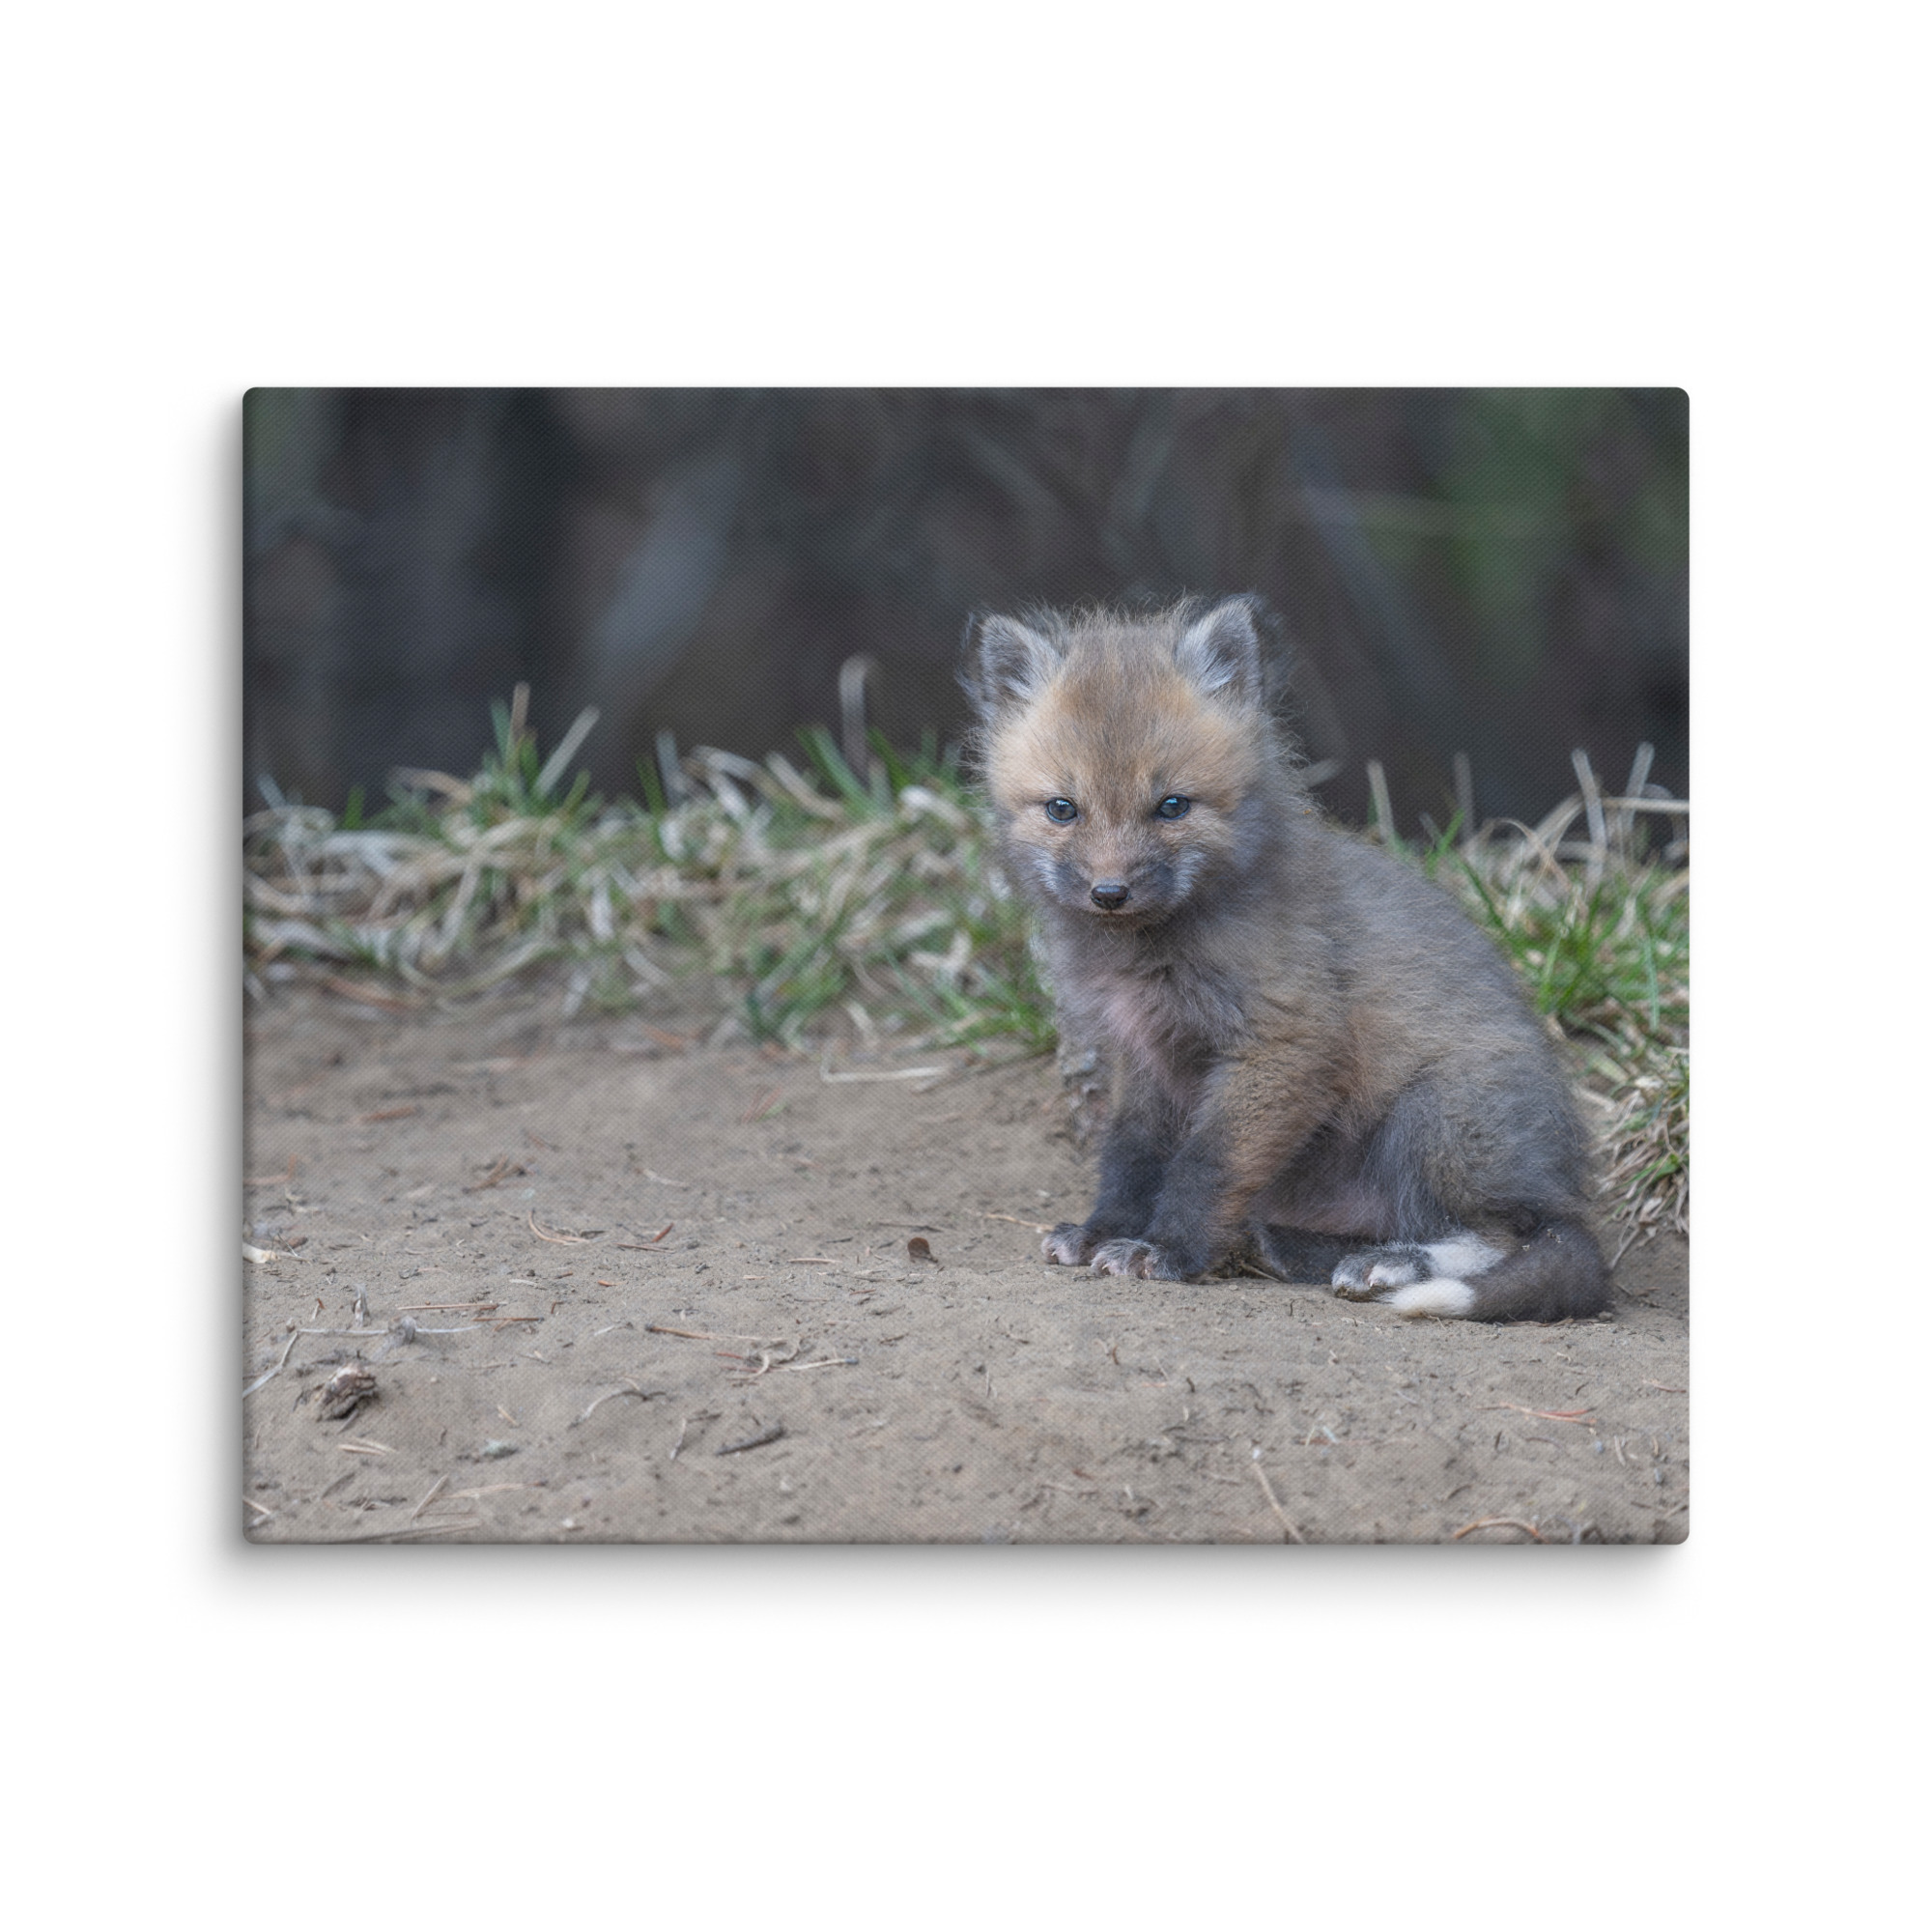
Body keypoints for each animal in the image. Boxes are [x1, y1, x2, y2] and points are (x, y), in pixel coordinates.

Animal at [959, 592, 1611, 1322]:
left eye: (1172, 806)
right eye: (1063, 809)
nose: (1109, 892)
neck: (1150, 954)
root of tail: (1562, 1182)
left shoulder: (1284, 1041)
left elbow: (1205, 1164)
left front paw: (1168, 1251)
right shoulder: (1145, 1055)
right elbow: (1130, 1156)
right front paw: (1106, 1231)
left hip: (1435, 1118)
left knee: (1510, 1235)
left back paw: (1391, 1265)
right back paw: (1294, 1248)